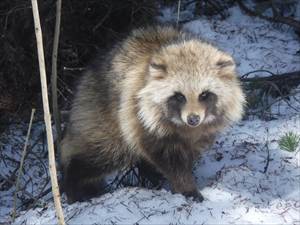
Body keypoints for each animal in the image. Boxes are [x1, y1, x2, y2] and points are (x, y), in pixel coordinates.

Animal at [60, 25, 246, 203]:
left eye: (204, 94)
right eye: (179, 96)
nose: (193, 119)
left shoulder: (199, 135)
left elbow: (189, 155)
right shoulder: (141, 117)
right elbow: (170, 161)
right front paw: (186, 187)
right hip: (107, 120)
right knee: (102, 154)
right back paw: (73, 182)